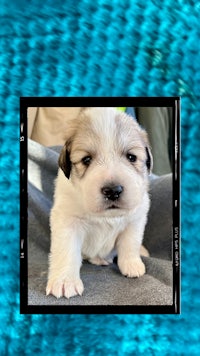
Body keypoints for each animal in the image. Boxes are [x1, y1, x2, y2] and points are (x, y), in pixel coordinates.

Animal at [46, 107, 152, 298]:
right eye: (86, 160)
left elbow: (130, 242)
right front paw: (65, 281)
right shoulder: (67, 220)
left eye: (131, 157)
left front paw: (132, 264)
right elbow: (67, 249)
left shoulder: (136, 218)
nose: (113, 190)